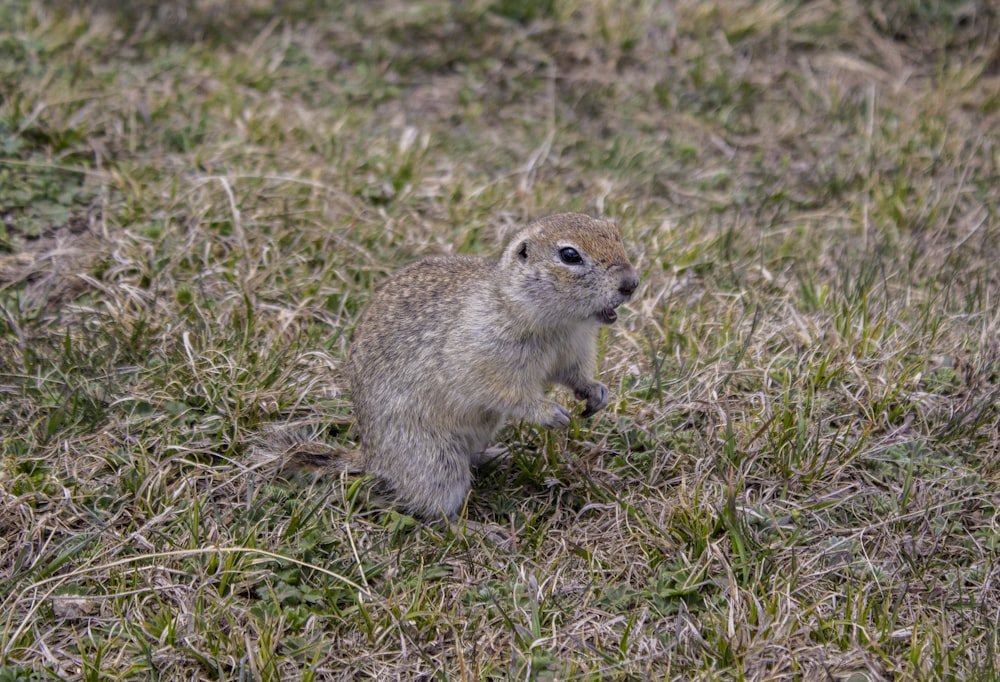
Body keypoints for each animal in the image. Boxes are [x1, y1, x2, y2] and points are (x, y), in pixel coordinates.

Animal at [270, 212, 636, 520]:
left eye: (616, 232)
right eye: (570, 255)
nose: (630, 283)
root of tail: (373, 460)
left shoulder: (573, 349)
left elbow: (573, 374)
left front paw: (596, 392)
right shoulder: (484, 357)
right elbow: (506, 393)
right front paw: (550, 413)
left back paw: (496, 455)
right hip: (434, 460)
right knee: (436, 510)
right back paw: (478, 529)